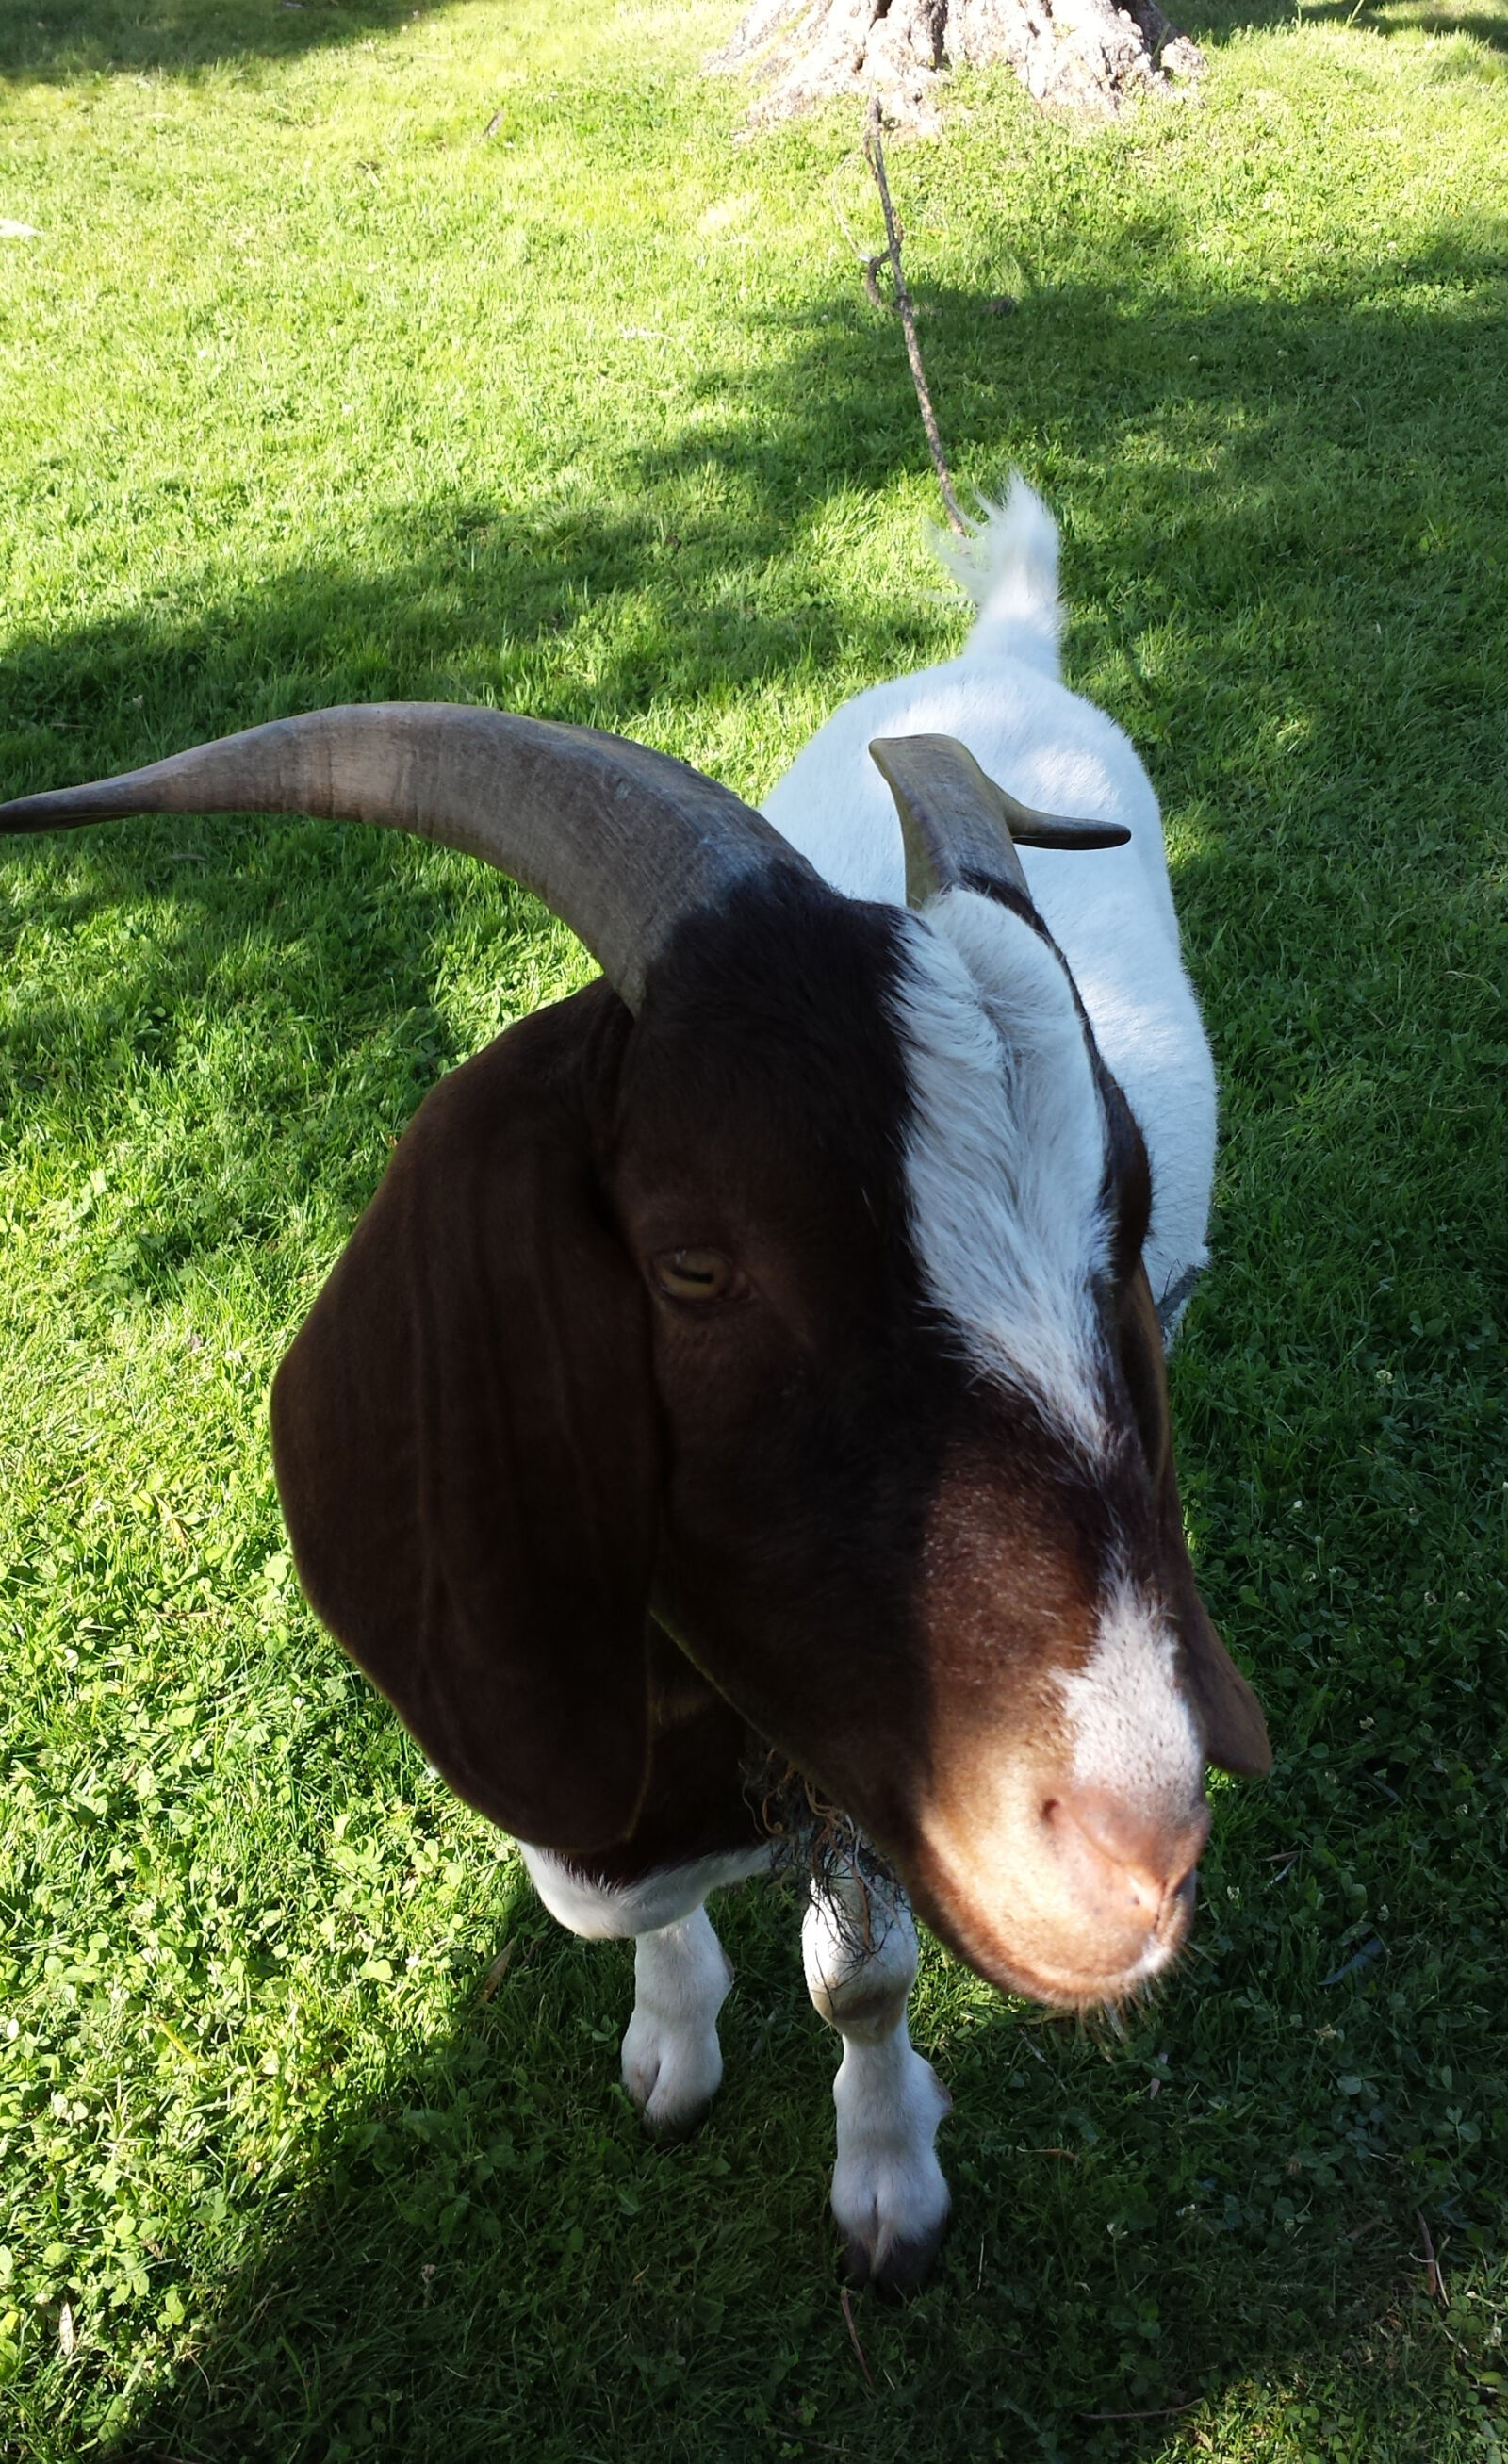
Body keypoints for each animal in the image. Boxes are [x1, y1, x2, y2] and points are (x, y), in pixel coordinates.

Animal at [0, 480, 1269, 2293]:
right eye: (693, 1266)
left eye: (1129, 1213)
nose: (1132, 1839)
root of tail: (1010, 643)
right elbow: (612, 1896)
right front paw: (671, 2039)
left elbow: (861, 1975)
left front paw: (887, 2178)